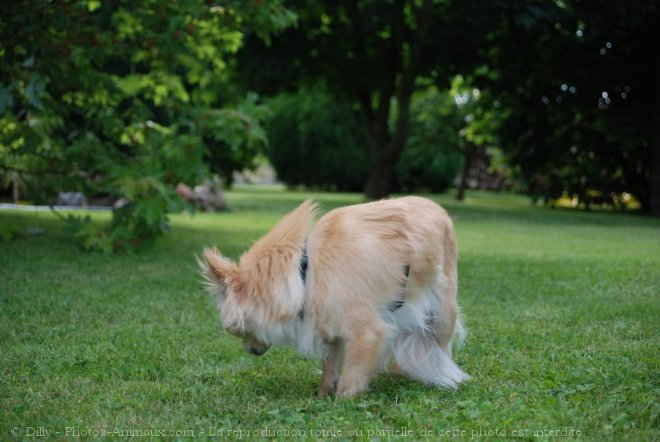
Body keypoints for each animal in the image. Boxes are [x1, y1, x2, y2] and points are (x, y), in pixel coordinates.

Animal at [199, 197, 466, 398]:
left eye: (240, 332)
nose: (248, 350)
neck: (304, 271)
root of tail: (439, 208)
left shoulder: (368, 333)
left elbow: (350, 377)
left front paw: (341, 403)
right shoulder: (331, 328)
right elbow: (330, 366)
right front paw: (322, 395)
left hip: (443, 311)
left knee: (443, 345)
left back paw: (443, 374)